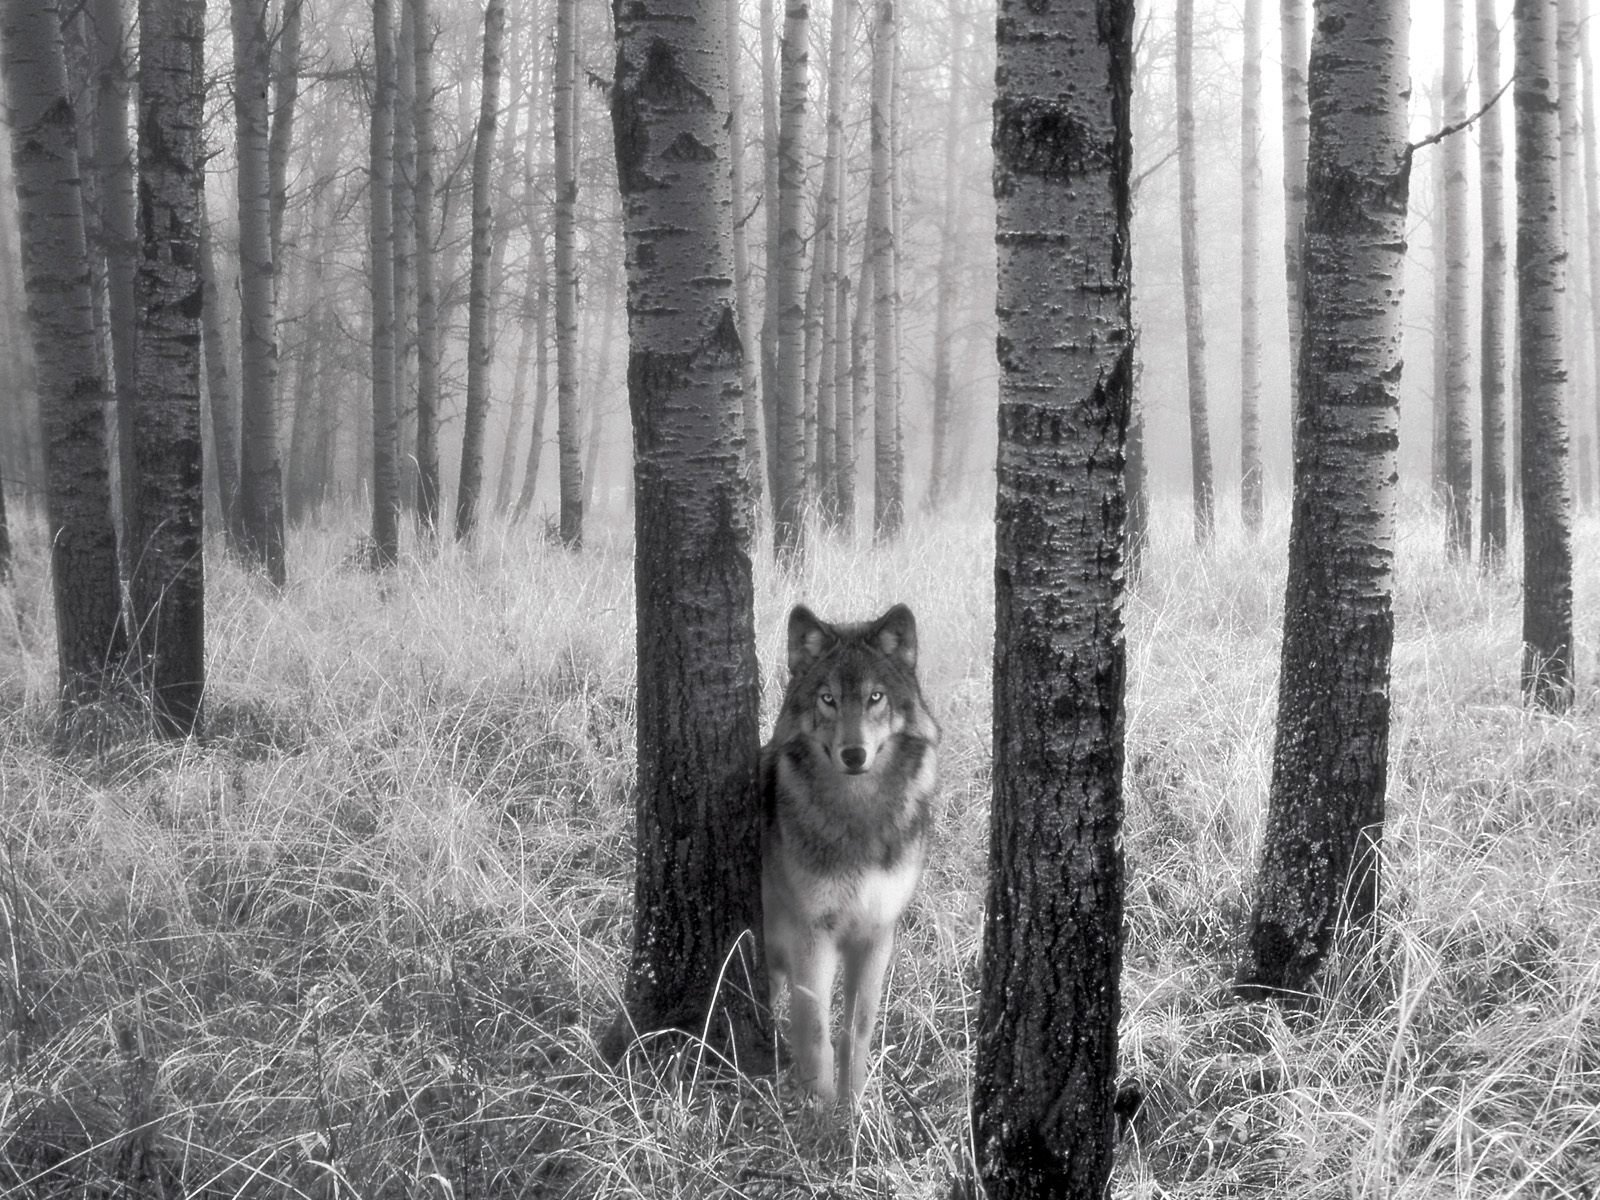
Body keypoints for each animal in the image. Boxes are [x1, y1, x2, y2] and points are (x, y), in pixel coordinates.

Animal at [761, 602, 940, 1106]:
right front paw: (819, 1112)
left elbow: (857, 1031)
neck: (859, 814)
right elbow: (816, 1031)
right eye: (828, 699)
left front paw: (854, 1106)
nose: (854, 754)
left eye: (875, 697)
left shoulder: (877, 933)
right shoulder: (812, 934)